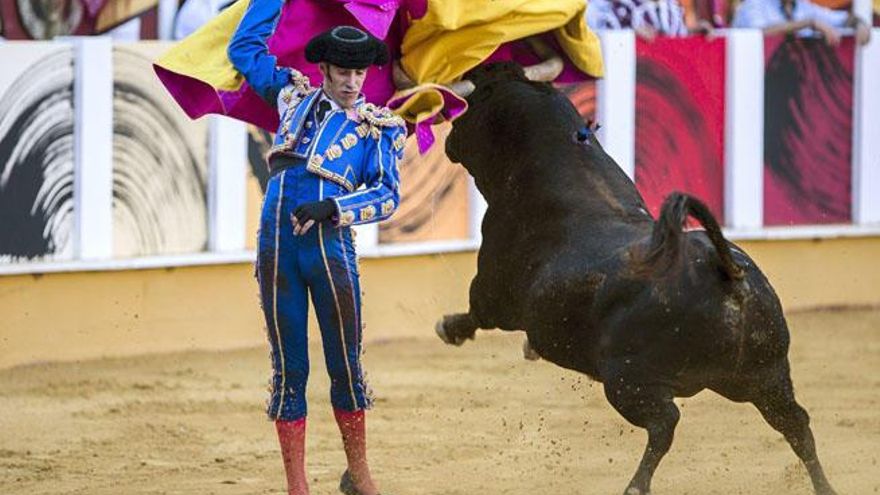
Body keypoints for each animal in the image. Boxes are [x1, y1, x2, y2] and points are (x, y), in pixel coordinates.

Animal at [440, 63, 840, 495]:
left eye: (473, 102)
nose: (449, 141)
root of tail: (725, 273)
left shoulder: (494, 290)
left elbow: (476, 312)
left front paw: (449, 328)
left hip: (627, 379)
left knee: (665, 424)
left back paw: (636, 485)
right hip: (765, 375)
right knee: (797, 425)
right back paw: (825, 486)